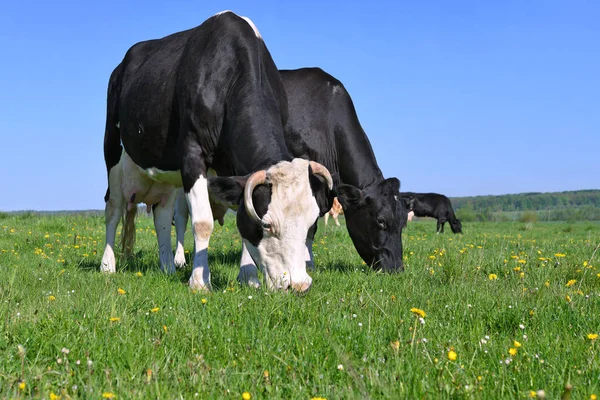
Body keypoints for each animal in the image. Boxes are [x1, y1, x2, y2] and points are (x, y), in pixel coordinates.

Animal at [99, 10, 332, 292]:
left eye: (311, 223)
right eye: (267, 224)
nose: (298, 285)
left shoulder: (233, 166)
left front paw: (249, 277)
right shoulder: (191, 153)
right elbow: (202, 223)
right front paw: (200, 282)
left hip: (164, 172)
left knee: (162, 216)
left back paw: (167, 267)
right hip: (112, 148)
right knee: (113, 208)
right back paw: (107, 266)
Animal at [173, 67, 408, 284]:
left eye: (403, 222)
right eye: (381, 221)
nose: (396, 269)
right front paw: (306, 263)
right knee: (182, 217)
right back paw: (178, 261)